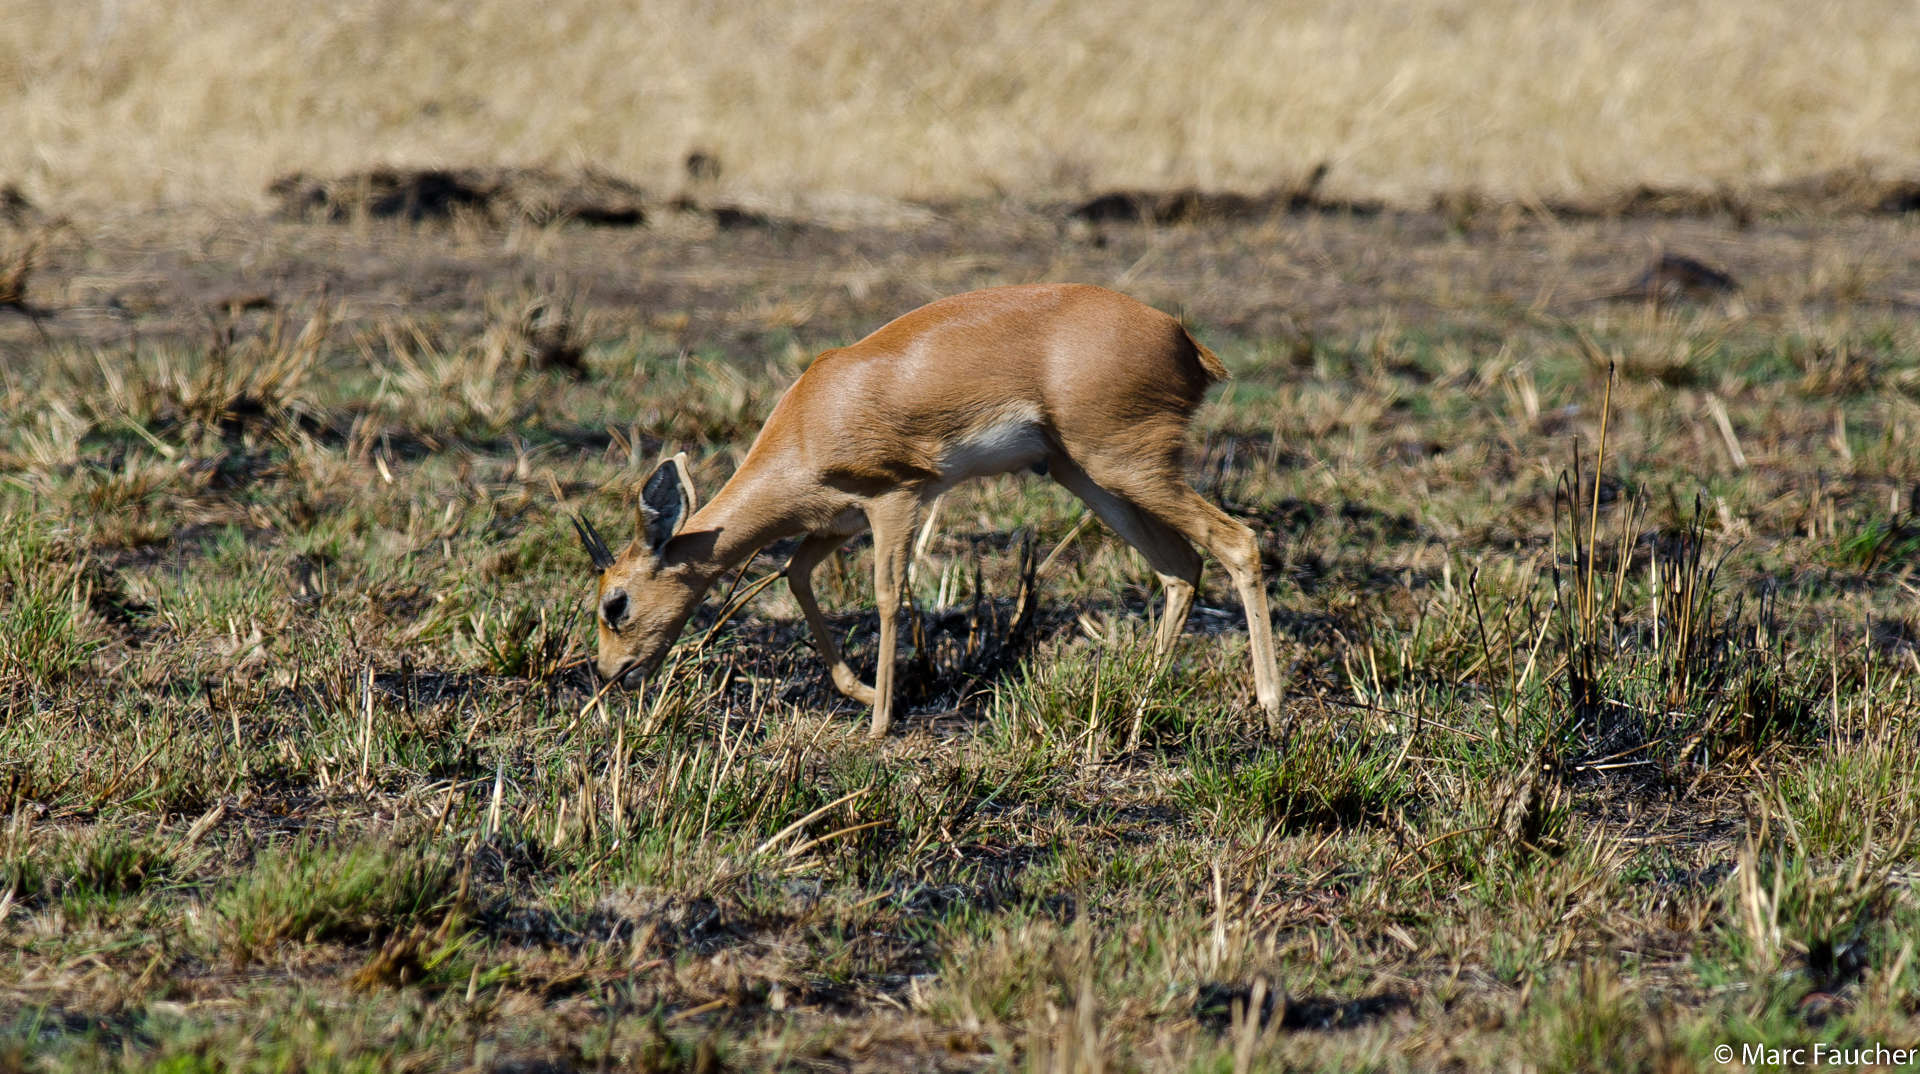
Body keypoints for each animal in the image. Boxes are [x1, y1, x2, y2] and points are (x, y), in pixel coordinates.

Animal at [572, 282, 1290, 733]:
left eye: (616, 604)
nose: (610, 674)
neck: (811, 418)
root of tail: (1183, 339)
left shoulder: (897, 499)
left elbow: (889, 597)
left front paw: (880, 720)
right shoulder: (835, 523)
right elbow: (797, 577)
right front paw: (863, 692)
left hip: (1126, 465)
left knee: (1238, 542)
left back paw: (1271, 705)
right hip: (1086, 475)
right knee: (1179, 567)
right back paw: (1140, 700)